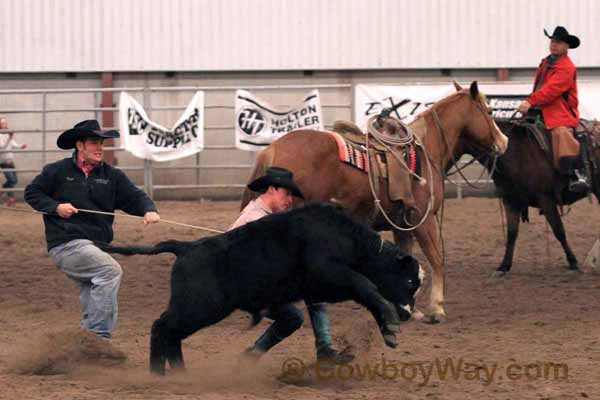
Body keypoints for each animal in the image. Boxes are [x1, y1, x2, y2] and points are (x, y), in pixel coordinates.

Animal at [241, 81, 508, 322]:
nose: (504, 142)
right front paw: (437, 309)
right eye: (489, 111)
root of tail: (273, 148)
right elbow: (436, 259)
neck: (427, 150)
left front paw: (410, 309)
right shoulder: (424, 220)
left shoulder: (403, 226)